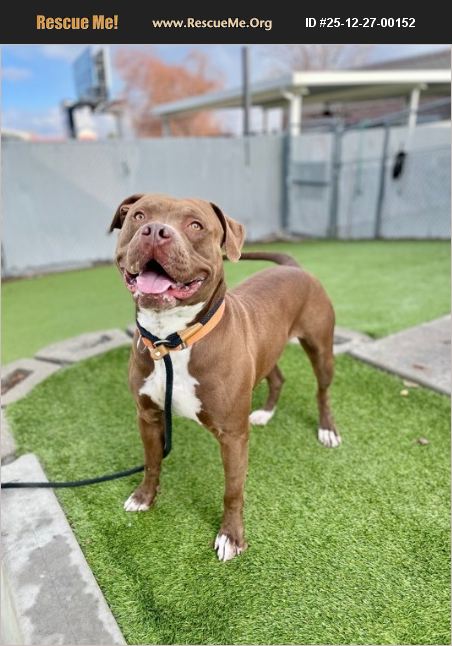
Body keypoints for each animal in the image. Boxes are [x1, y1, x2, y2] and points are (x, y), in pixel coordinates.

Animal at [110, 193, 340, 561]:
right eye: (139, 215)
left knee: (322, 391)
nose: (155, 231)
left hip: (321, 349)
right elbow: (151, 462)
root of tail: (293, 266)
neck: (171, 339)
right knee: (277, 377)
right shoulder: (147, 416)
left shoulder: (232, 436)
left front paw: (231, 536)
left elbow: (233, 490)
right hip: (267, 349)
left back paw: (327, 429)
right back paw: (265, 413)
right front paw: (144, 497)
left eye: (195, 225)